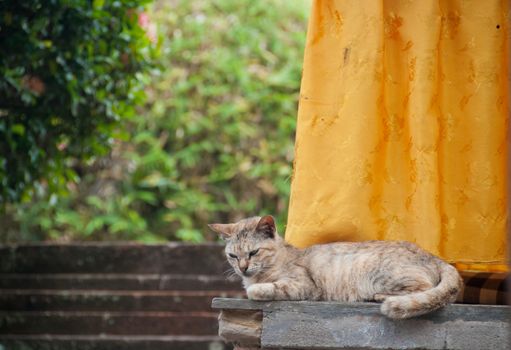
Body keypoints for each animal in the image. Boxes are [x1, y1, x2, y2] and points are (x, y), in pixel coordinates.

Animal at [208, 215, 464, 318]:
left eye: (253, 252)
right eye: (233, 255)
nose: (242, 268)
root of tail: (434, 257)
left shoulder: (304, 286)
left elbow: (264, 289)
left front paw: (256, 290)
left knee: (424, 288)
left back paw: (378, 296)